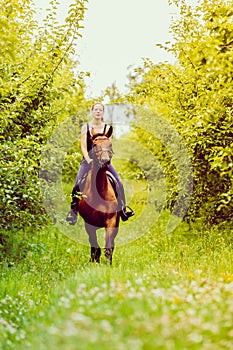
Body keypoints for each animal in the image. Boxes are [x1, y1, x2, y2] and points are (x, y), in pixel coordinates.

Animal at [77, 126, 119, 266]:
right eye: (94, 144)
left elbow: (108, 248)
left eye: (110, 144)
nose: (105, 162)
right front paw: (94, 262)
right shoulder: (89, 224)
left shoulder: (111, 221)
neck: (99, 191)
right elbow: (95, 246)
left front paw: (109, 266)